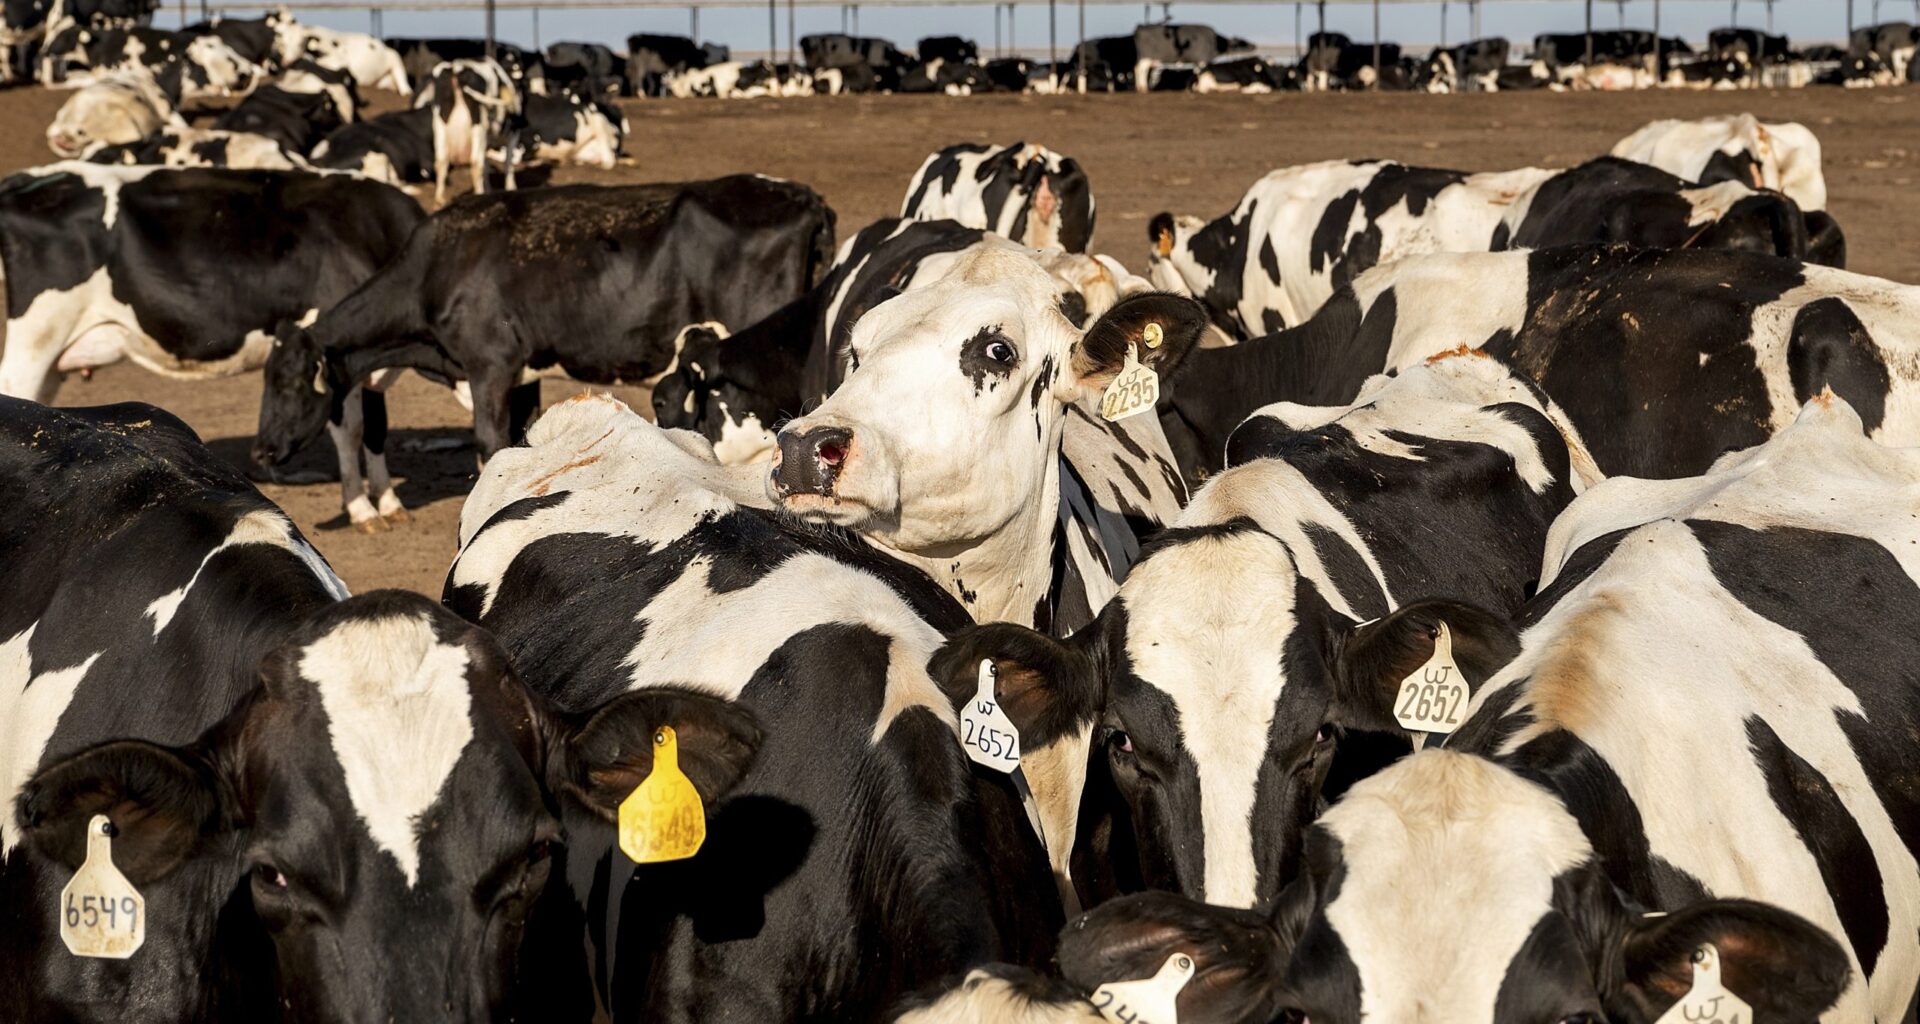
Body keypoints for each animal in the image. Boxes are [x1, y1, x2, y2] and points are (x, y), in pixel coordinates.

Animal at [0, 164, 425, 529]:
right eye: (283, 384)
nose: (262, 454)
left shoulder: (372, 357)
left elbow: (375, 428)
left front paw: (389, 502)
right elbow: (350, 429)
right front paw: (361, 508)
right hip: (35, 342)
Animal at [253, 176, 835, 470]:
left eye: (287, 382)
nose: (260, 451)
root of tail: (806, 197)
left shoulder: (488, 368)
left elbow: (489, 444)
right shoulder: (521, 374)